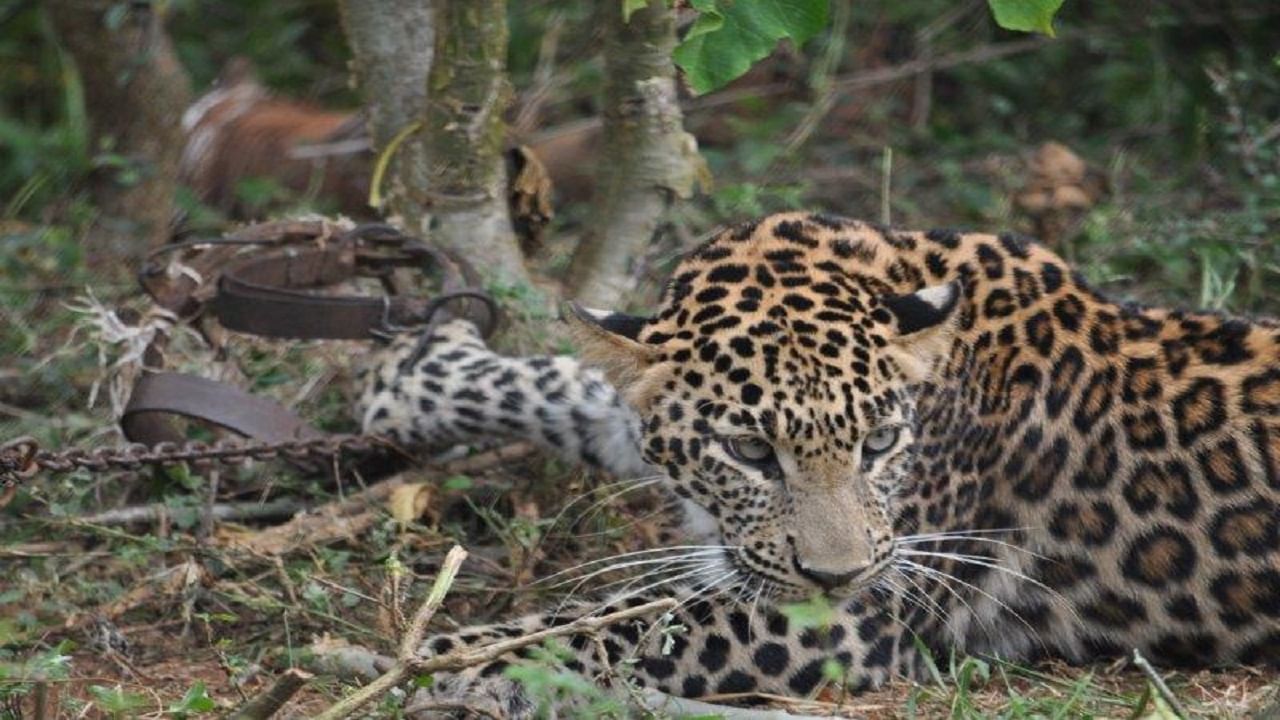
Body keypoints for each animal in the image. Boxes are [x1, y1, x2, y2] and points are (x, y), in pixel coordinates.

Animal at [358, 210, 1280, 712]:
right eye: (748, 450)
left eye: (879, 443)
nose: (836, 575)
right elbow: (574, 383)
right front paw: (416, 375)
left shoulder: (852, 619)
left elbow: (619, 624)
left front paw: (444, 667)